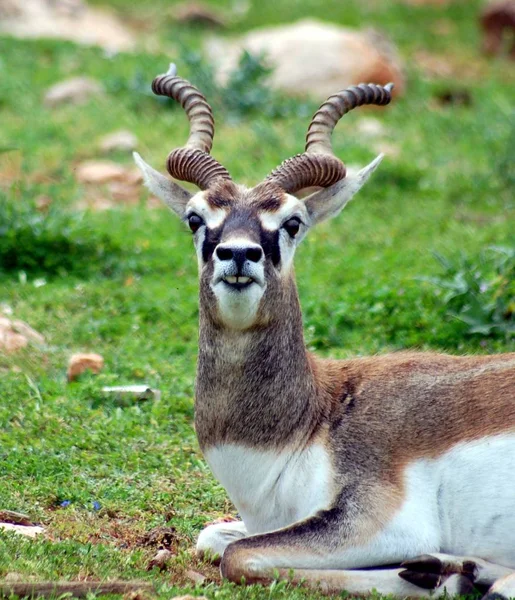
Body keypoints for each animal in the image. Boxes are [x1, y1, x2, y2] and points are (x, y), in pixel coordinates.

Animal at [136, 63, 515, 596]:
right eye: (195, 218)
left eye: (292, 223)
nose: (238, 253)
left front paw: (440, 577)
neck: (315, 418)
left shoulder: (382, 521)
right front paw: (450, 571)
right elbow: (212, 537)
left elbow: (238, 556)